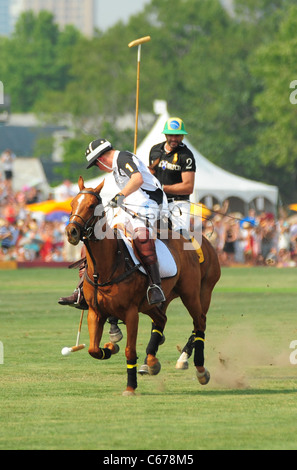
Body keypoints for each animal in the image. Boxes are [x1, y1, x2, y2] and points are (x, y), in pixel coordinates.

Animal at [66, 176, 220, 396]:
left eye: (92, 205)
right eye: (72, 204)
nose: (71, 232)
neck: (106, 267)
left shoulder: (131, 313)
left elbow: (130, 350)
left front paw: (130, 386)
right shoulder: (95, 312)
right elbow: (93, 349)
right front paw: (110, 347)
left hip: (194, 293)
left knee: (199, 323)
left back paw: (198, 368)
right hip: (154, 302)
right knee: (162, 319)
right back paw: (152, 361)